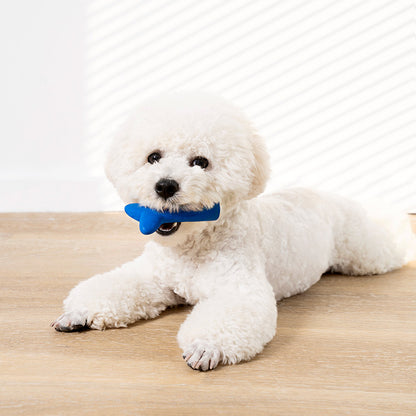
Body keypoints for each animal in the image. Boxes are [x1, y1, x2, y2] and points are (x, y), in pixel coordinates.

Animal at [53, 92, 414, 370]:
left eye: (200, 162)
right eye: (153, 157)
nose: (165, 186)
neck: (193, 246)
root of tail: (322, 194)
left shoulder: (239, 289)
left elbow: (228, 316)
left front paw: (205, 347)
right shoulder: (153, 278)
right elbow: (117, 287)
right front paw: (79, 312)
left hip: (364, 251)